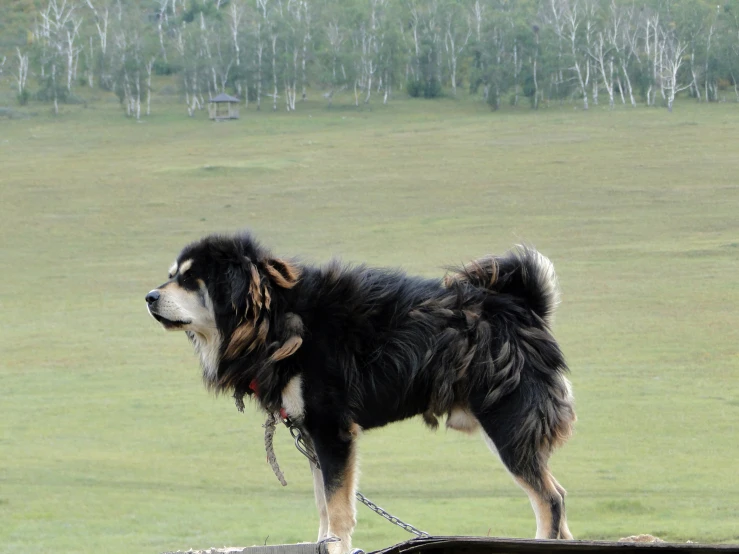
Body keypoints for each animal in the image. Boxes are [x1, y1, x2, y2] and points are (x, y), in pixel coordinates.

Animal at [146, 231, 580, 548]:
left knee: (550, 499)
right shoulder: (311, 433)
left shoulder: (332, 430)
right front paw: (323, 542)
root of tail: (524, 305)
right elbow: (323, 505)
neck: (274, 316)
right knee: (557, 496)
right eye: (173, 275)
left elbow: (338, 508)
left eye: (189, 280)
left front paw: (337, 544)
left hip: (507, 423)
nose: (149, 296)